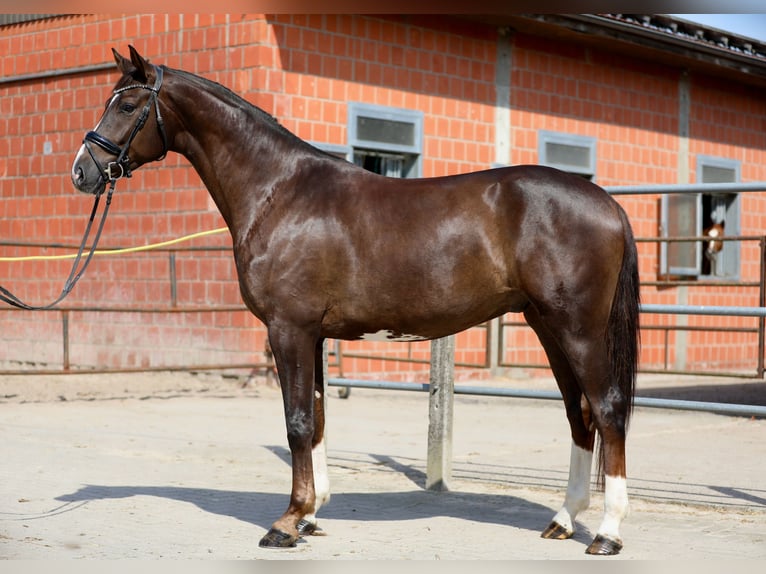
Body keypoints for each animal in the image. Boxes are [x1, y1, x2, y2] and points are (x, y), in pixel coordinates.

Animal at [72, 47, 640, 556]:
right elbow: (318, 417)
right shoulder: (312, 336)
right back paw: (563, 520)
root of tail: (608, 203)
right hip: (548, 327)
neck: (280, 191)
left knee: (608, 410)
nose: (83, 171)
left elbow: (298, 422)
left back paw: (608, 533)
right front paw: (311, 514)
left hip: (578, 330)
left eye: (127, 105)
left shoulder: (289, 329)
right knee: (579, 414)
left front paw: (286, 523)